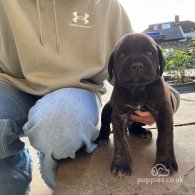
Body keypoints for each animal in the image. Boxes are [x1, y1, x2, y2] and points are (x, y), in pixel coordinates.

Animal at [96, 33, 177, 177]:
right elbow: (120, 140)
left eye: (150, 53)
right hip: (107, 108)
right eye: (121, 54)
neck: (138, 89)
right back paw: (102, 137)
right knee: (105, 124)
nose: (137, 65)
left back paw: (141, 131)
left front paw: (164, 162)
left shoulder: (164, 111)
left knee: (134, 126)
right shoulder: (119, 115)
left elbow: (165, 137)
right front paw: (121, 164)